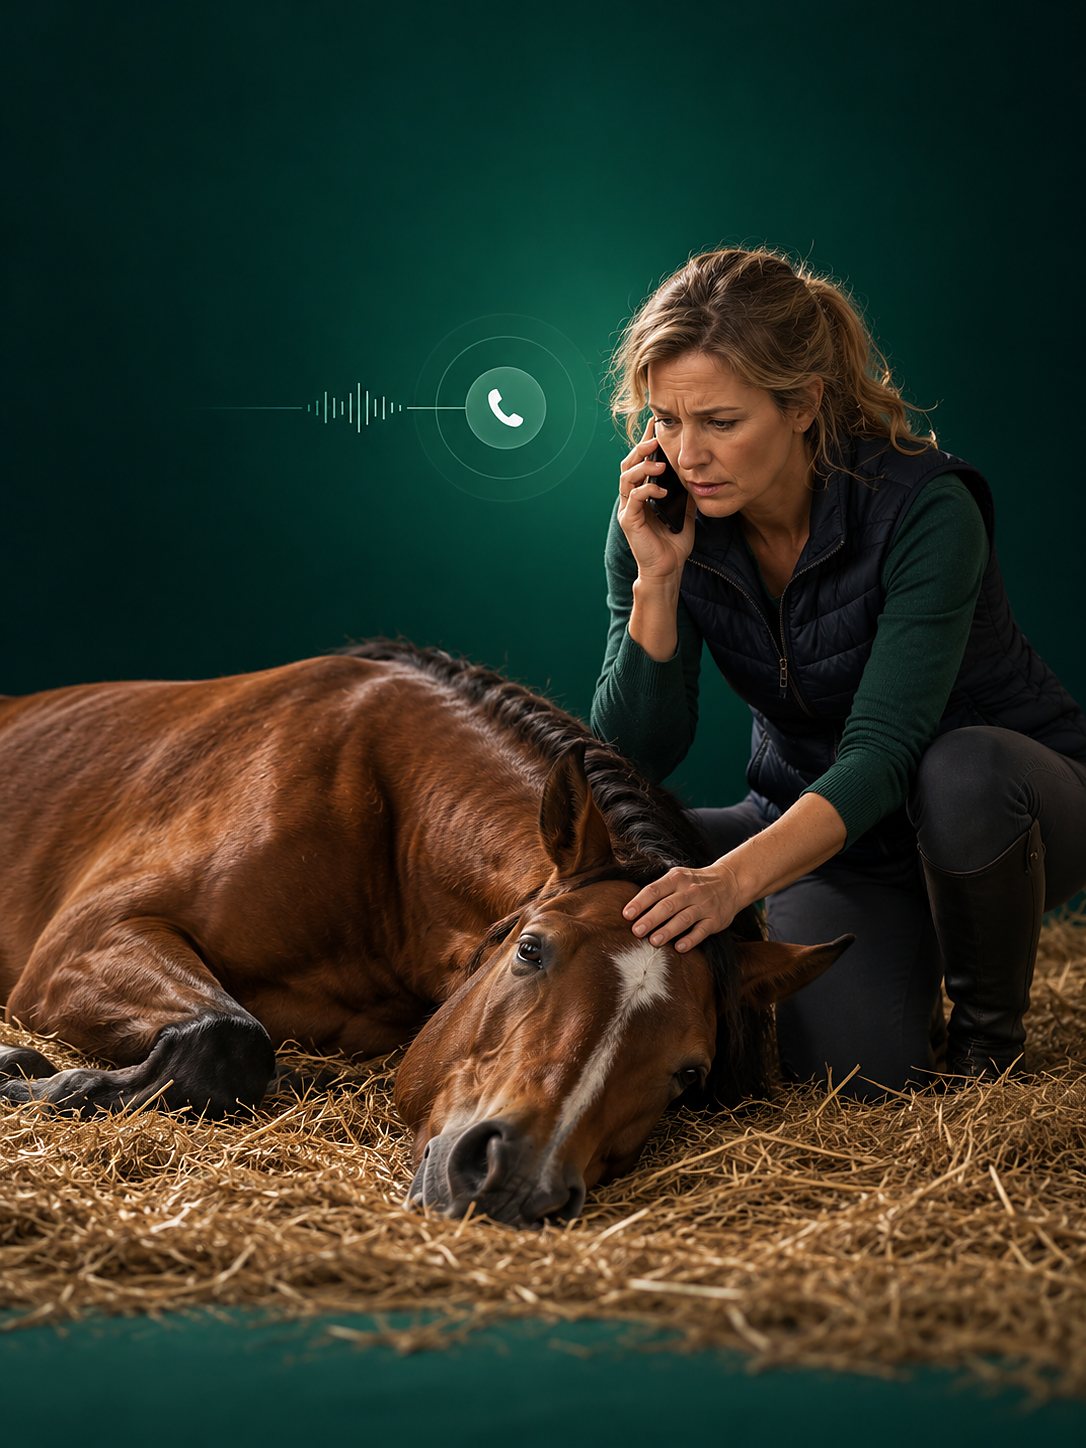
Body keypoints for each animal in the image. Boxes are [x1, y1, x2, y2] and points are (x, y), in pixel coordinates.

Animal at [0, 638, 850, 1226]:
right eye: (531, 950)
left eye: (689, 1074)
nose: (514, 1181)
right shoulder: (87, 942)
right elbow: (226, 1041)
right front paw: (28, 1078)